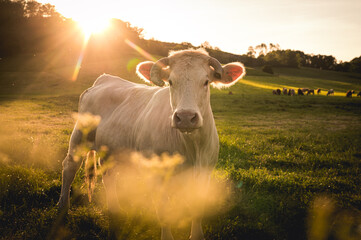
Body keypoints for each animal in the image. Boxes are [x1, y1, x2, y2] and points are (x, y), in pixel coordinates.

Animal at [57, 49, 245, 240]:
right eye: (170, 82)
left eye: (206, 81)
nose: (185, 117)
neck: (192, 147)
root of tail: (105, 78)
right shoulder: (155, 175)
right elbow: (163, 211)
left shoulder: (205, 172)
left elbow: (197, 208)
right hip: (79, 137)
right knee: (69, 166)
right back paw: (63, 207)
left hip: (112, 150)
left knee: (108, 176)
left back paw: (115, 211)